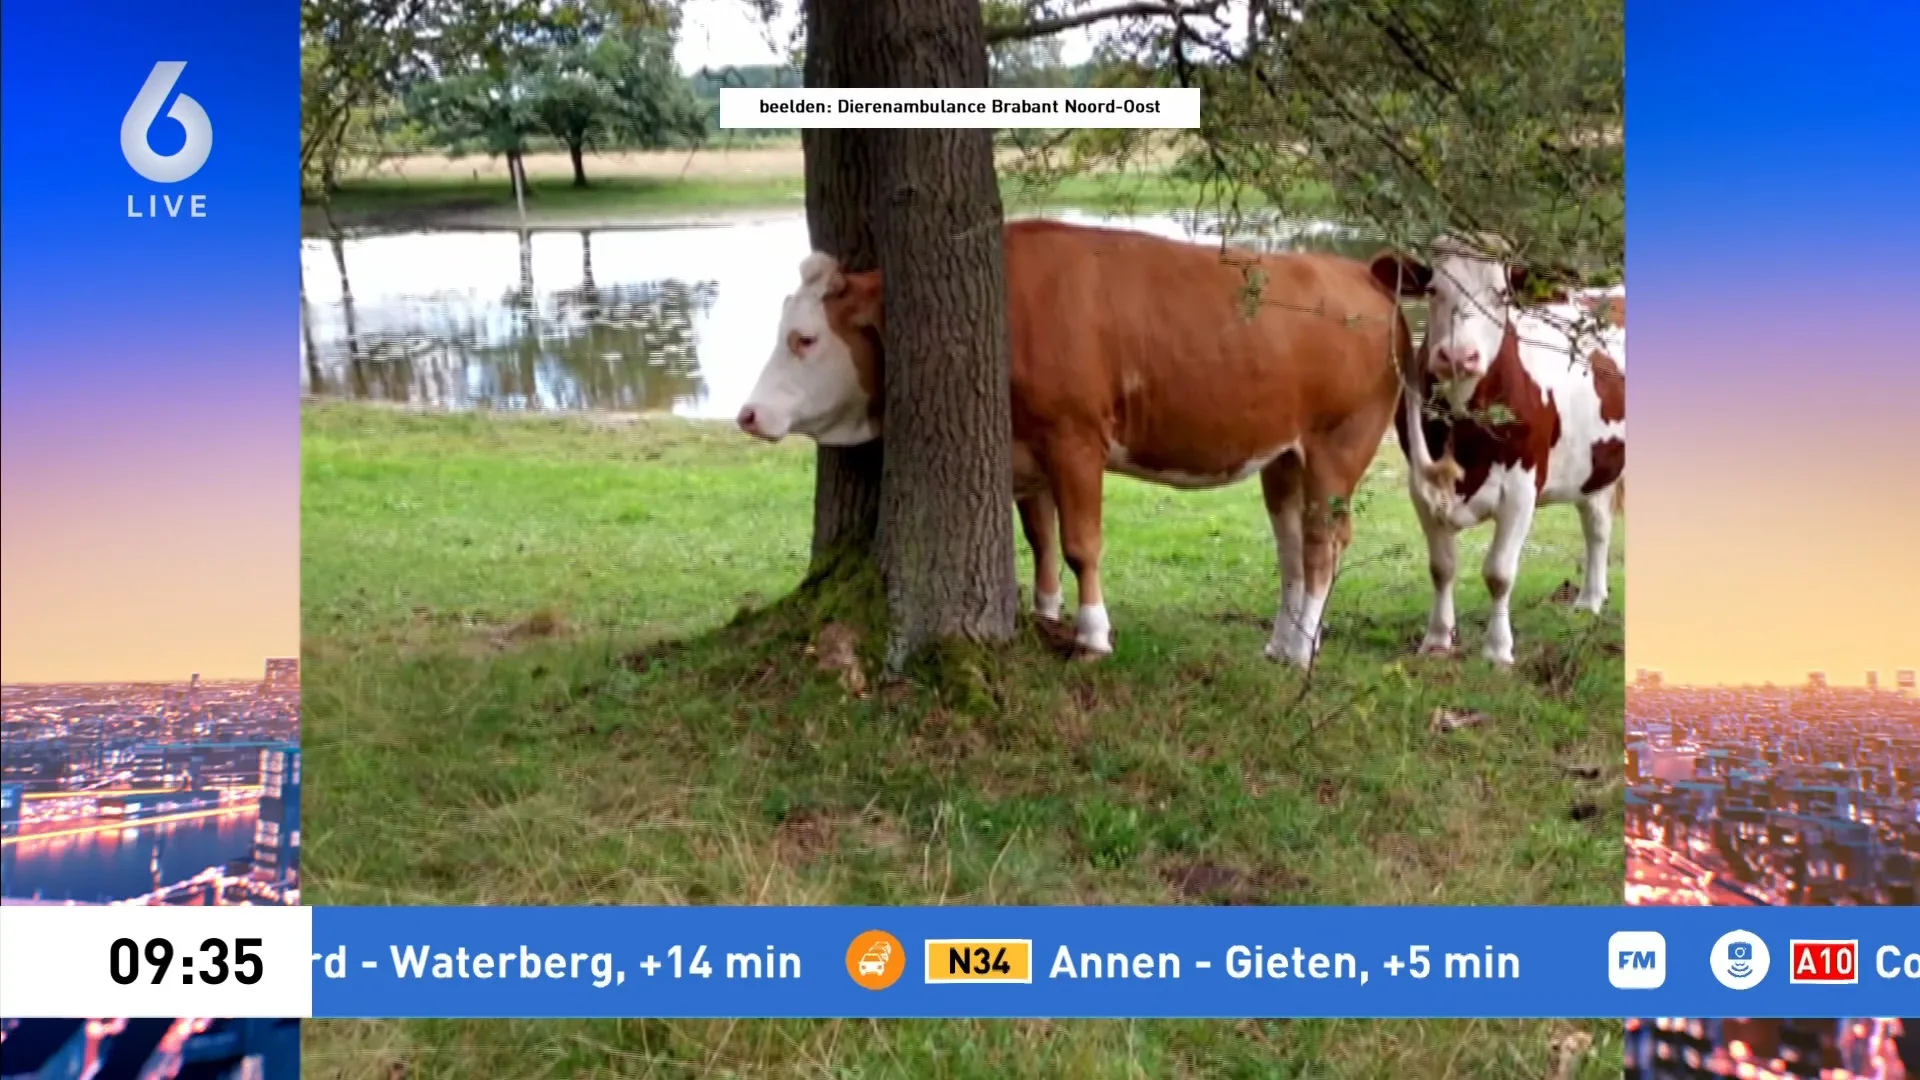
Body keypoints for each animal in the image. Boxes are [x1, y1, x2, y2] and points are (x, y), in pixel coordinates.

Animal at [736, 219, 1412, 665]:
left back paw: (1301, 652)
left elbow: (1081, 543)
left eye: (804, 338)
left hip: (1338, 446)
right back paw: (1283, 641)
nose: (747, 413)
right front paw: (1044, 613)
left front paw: (1091, 634)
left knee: (1324, 544)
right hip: (1284, 457)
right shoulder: (1024, 455)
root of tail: (1360, 273)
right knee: (1293, 545)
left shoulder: (1074, 438)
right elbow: (1041, 537)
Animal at [1368, 235, 1626, 667]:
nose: (1458, 356)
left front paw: (1498, 650)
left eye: (1501, 294)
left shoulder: (1521, 489)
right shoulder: (1422, 486)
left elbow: (1499, 573)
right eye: (1434, 289)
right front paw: (1437, 639)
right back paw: (1590, 600)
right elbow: (1442, 567)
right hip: (1595, 466)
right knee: (1597, 526)